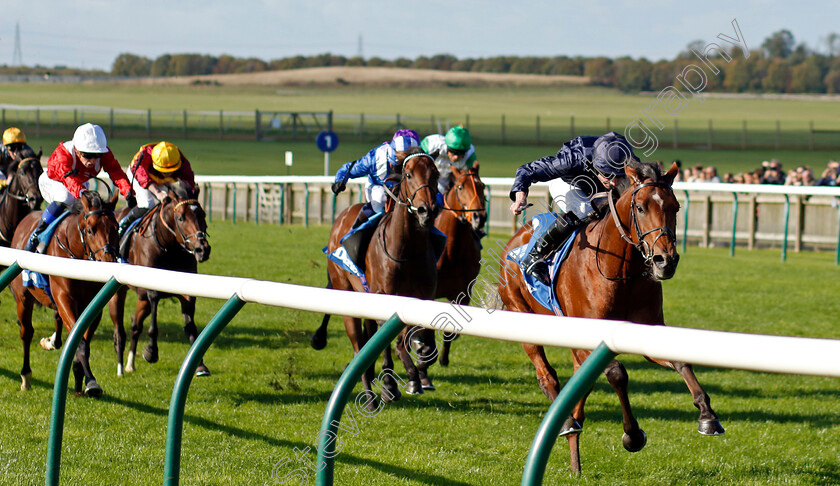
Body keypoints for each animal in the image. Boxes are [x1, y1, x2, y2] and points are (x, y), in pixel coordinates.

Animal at [10, 189, 120, 394]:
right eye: (91, 230)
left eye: (116, 228)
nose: (108, 262)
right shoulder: (64, 298)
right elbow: (81, 344)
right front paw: (91, 382)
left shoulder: (92, 306)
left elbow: (81, 340)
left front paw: (79, 376)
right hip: (23, 298)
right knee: (26, 333)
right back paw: (26, 376)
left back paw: (51, 342)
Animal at [108, 184, 210, 378]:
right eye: (181, 218)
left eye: (203, 215)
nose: (203, 249)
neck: (169, 247)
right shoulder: (150, 289)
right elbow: (153, 322)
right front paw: (151, 351)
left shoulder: (186, 291)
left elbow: (190, 326)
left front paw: (199, 365)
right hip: (118, 293)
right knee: (119, 332)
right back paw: (120, 369)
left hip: (141, 299)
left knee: (135, 325)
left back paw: (130, 365)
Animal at [316, 148, 442, 406]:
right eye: (408, 174)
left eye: (435, 173)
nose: (426, 211)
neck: (406, 251)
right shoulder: (384, 296)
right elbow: (395, 341)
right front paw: (400, 380)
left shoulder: (424, 298)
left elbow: (421, 337)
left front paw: (420, 361)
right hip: (347, 296)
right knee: (359, 347)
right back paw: (371, 394)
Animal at [434, 165, 486, 366]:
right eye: (460, 187)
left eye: (482, 186)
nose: (480, 217)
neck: (451, 252)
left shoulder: (462, 293)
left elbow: (450, 329)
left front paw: (443, 359)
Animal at [498, 161, 720, 472]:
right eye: (640, 207)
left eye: (675, 206)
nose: (665, 261)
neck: (621, 268)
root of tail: (515, 241)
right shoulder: (591, 334)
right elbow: (617, 374)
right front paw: (632, 435)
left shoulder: (647, 330)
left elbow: (680, 360)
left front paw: (707, 415)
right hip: (521, 314)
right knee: (547, 376)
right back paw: (567, 423)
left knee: (579, 384)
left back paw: (574, 449)